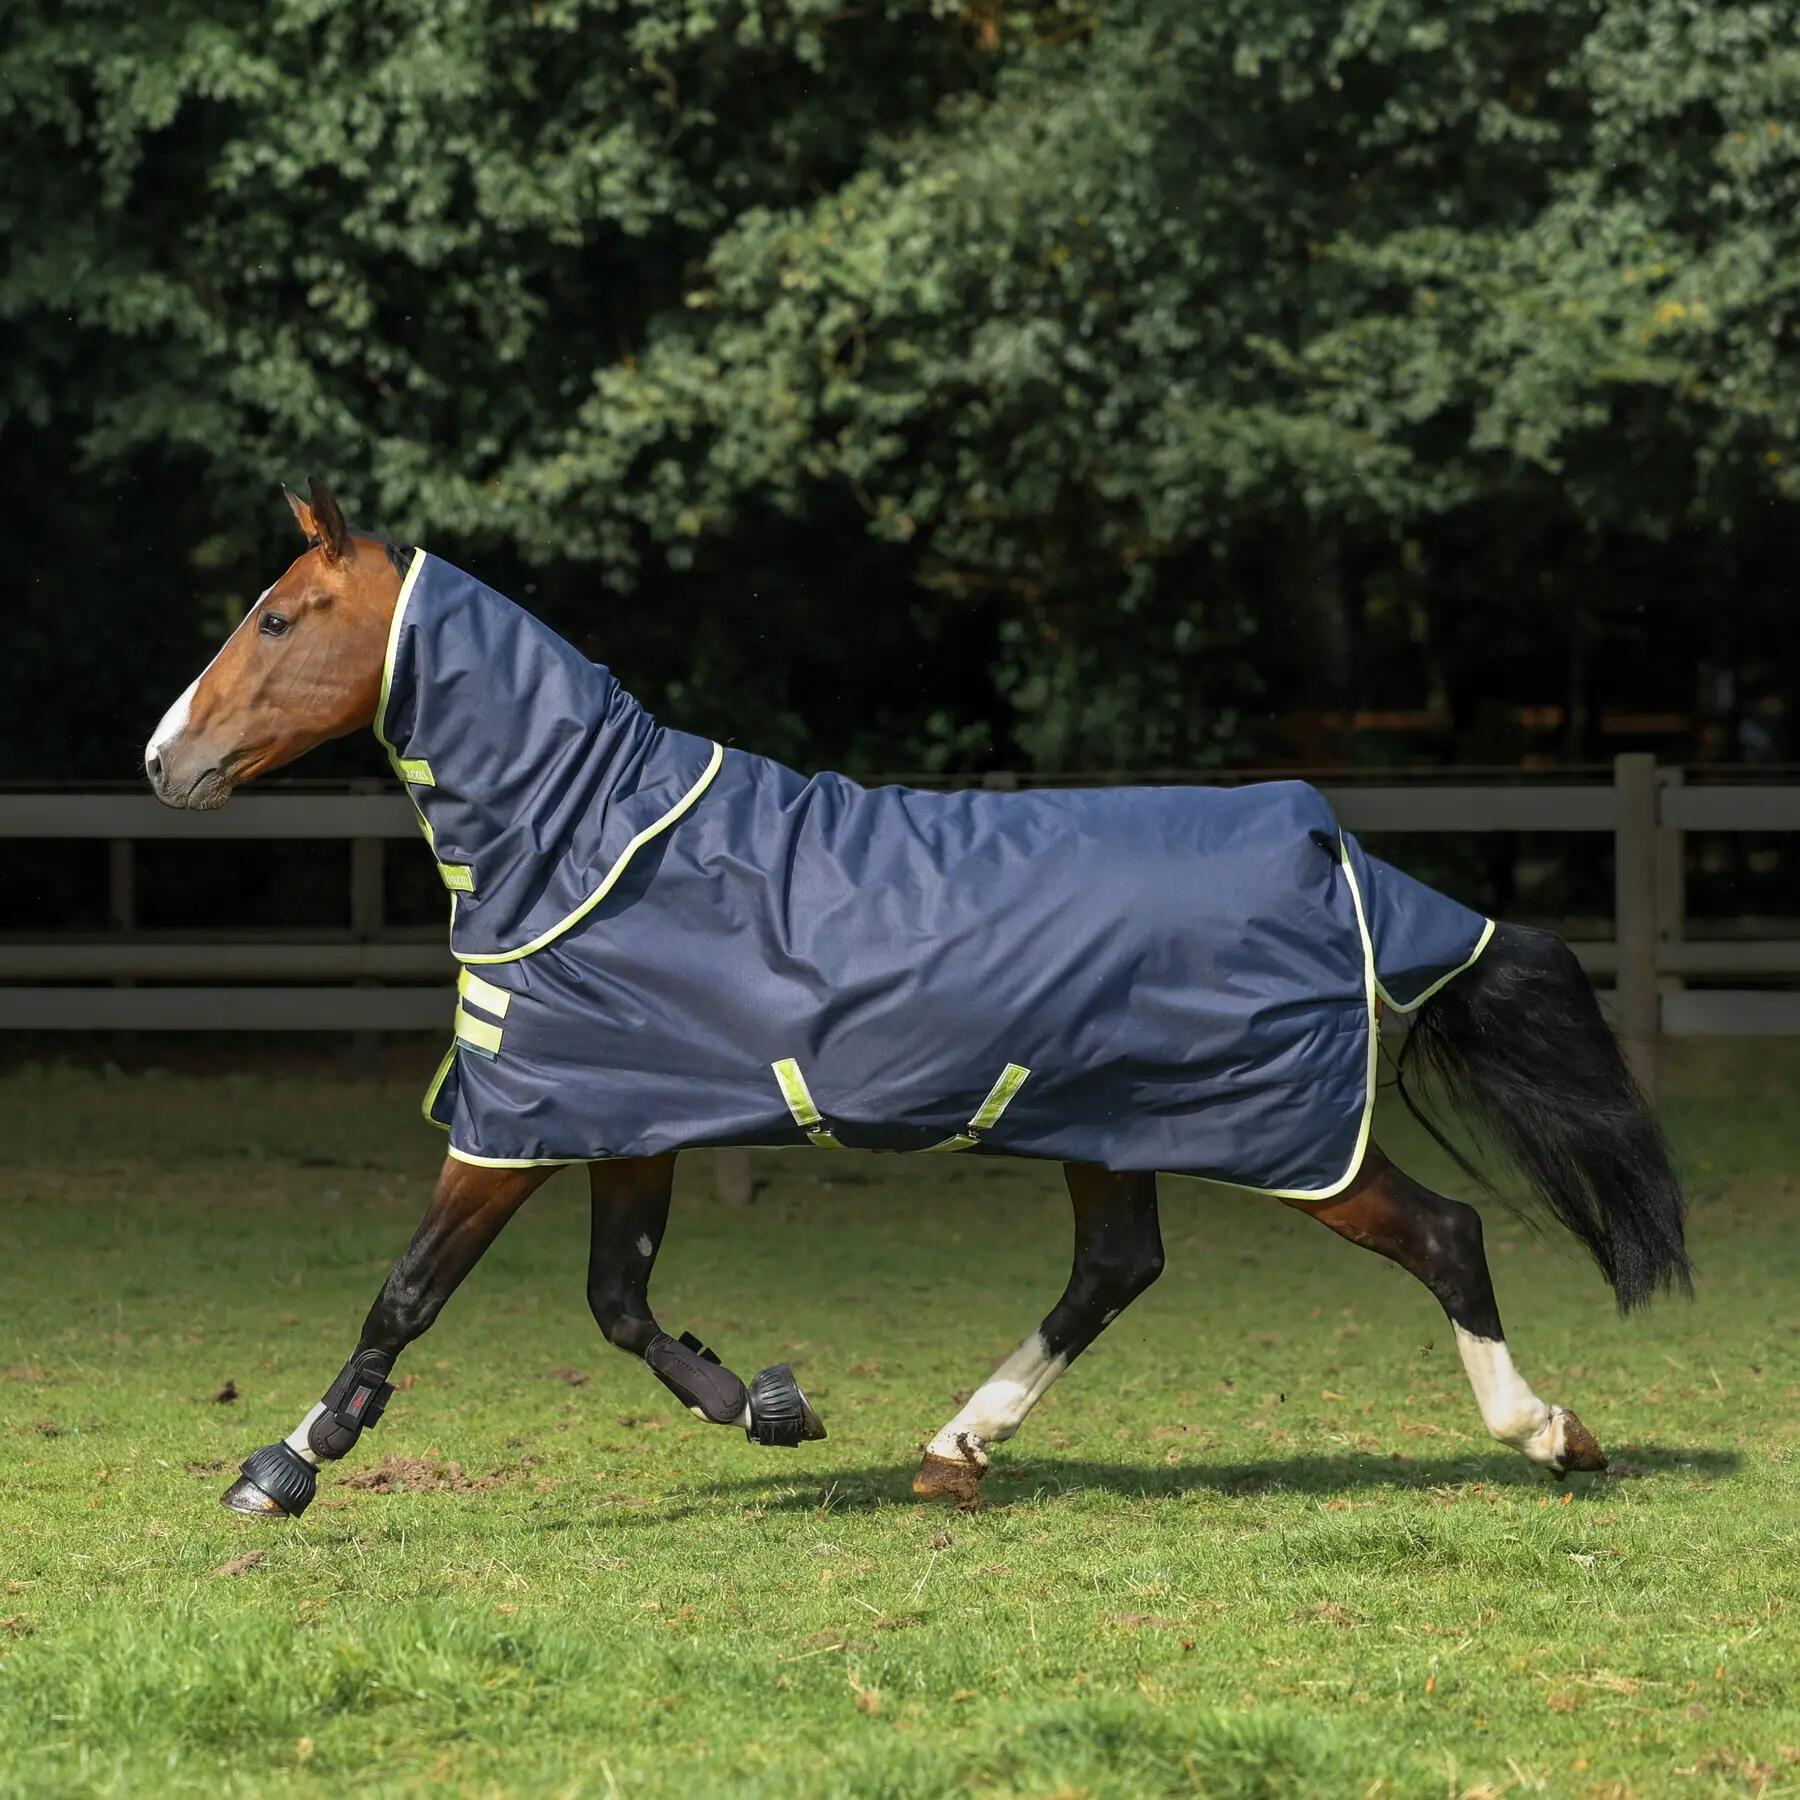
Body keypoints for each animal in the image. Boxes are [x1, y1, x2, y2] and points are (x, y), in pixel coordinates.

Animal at [145, 479, 1690, 1519]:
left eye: (277, 617)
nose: (165, 759)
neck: (584, 837)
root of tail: (1328, 842)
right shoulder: (625, 1118)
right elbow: (618, 1306)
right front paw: (763, 1404)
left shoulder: (517, 1126)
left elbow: (408, 1294)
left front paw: (285, 1464)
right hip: (1107, 1127)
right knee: (1115, 1271)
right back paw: (956, 1448)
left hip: (1287, 1141)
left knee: (1442, 1236)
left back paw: (1551, 1434)